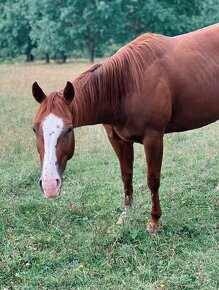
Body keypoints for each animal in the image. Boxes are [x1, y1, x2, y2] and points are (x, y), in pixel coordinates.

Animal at [32, 23, 219, 231]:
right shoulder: (117, 140)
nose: (49, 185)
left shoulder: (153, 138)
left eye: (69, 129)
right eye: (34, 129)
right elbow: (126, 175)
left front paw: (154, 221)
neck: (127, 86)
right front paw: (126, 214)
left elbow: (153, 179)